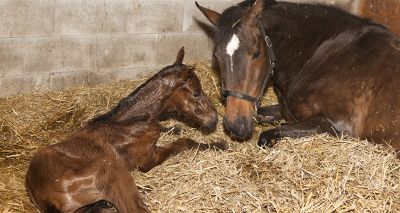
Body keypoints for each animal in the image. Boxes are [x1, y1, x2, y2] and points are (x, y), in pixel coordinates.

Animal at [25, 48, 225, 213]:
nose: (214, 119)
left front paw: (176, 127)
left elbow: (170, 130)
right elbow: (184, 142)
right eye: (196, 93)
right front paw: (219, 145)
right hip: (111, 169)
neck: (128, 123)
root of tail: (39, 194)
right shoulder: (149, 159)